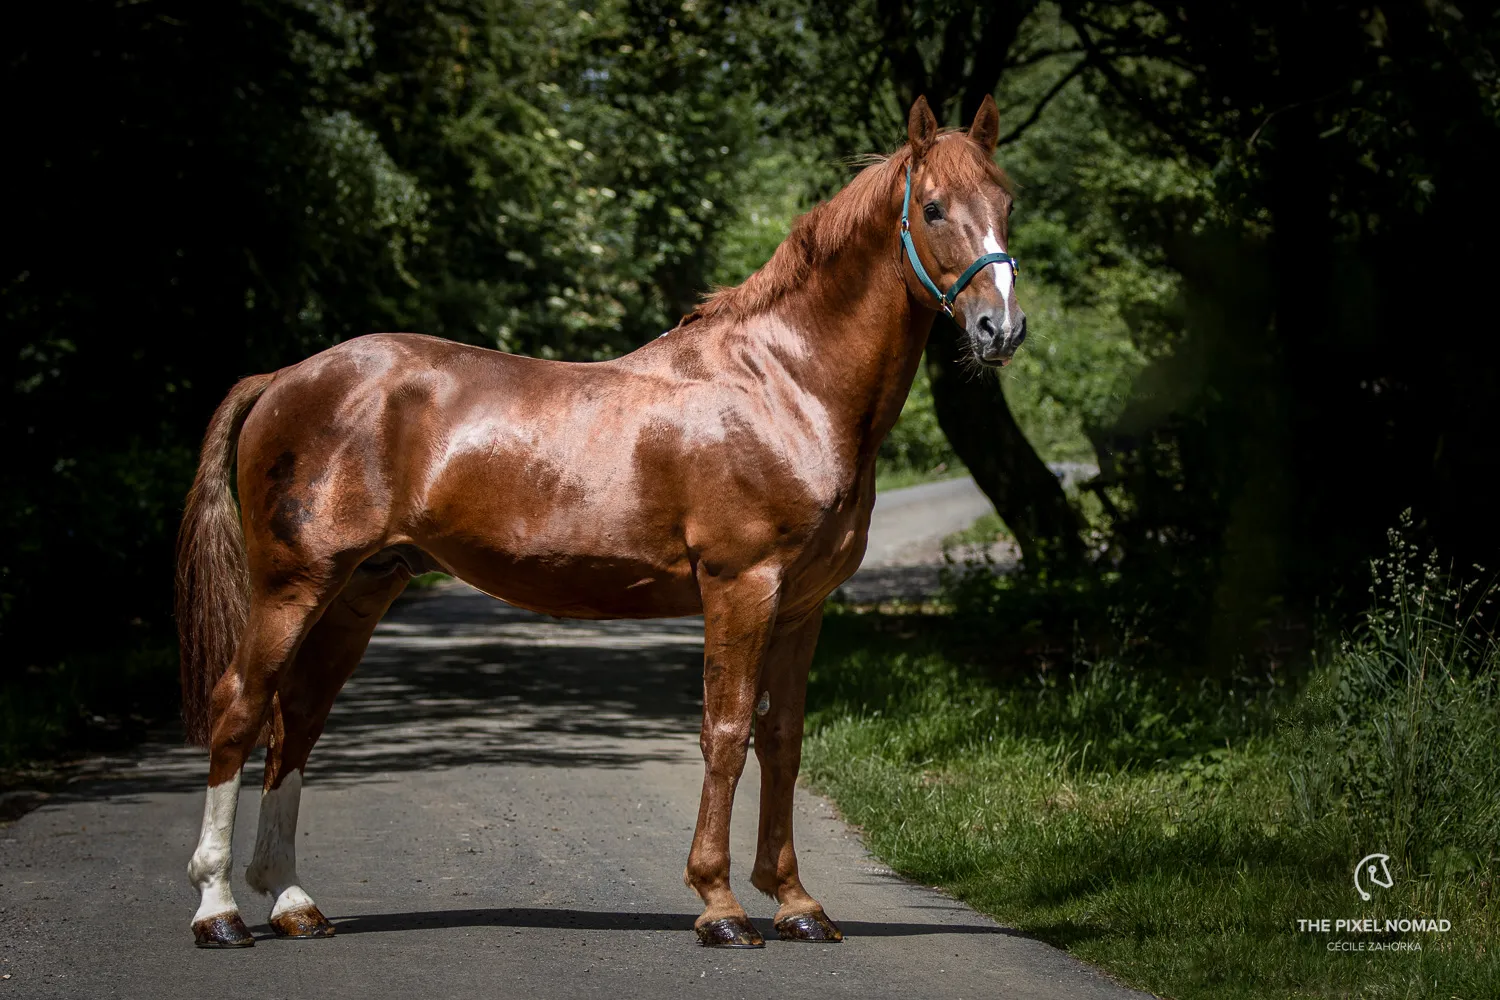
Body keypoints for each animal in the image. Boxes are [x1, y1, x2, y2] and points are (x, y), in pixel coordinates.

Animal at [172, 97, 1020, 953]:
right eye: (933, 208)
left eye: (1007, 201)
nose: (1000, 329)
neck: (785, 387)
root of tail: (286, 376)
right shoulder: (740, 587)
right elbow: (726, 731)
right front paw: (720, 904)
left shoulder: (803, 605)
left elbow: (783, 739)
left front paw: (796, 904)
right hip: (293, 585)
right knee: (241, 706)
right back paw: (219, 911)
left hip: (360, 588)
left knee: (299, 716)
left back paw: (292, 903)